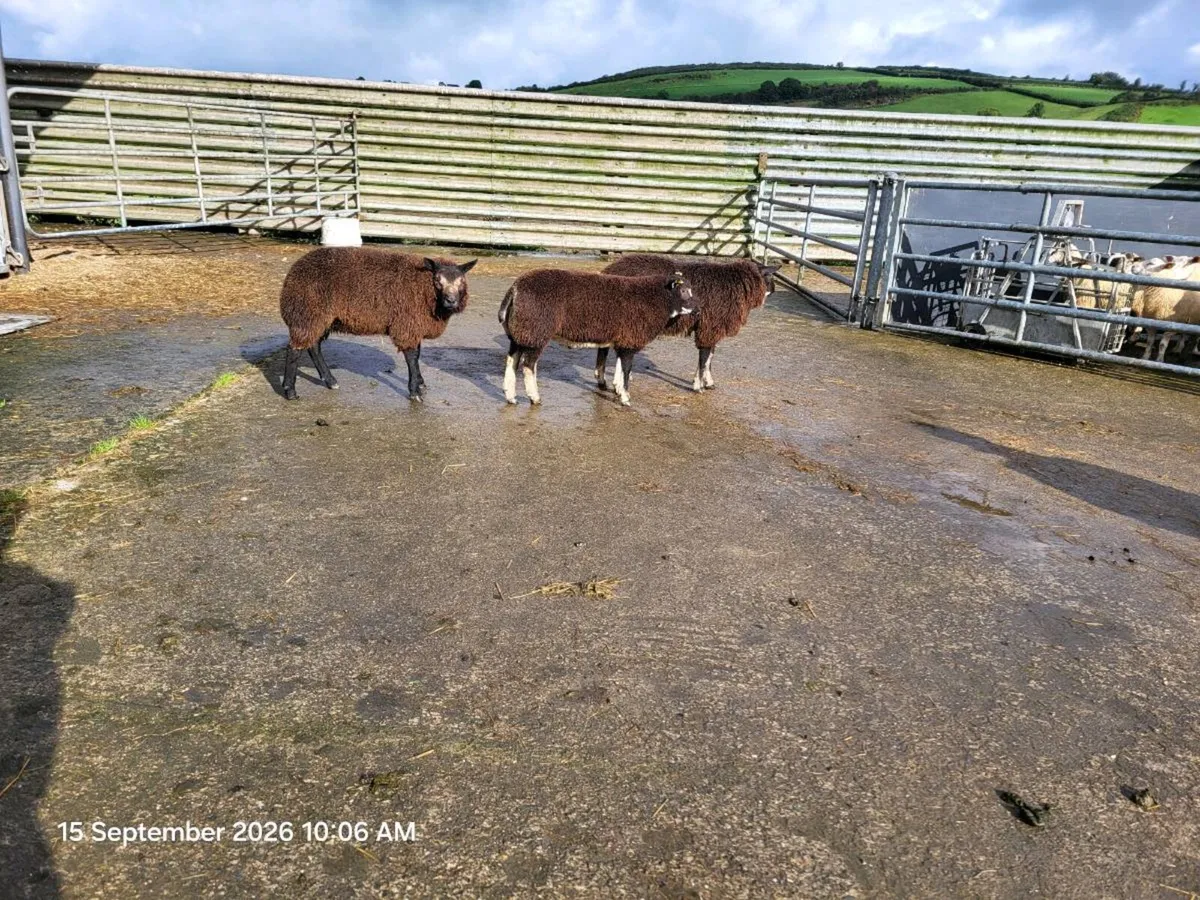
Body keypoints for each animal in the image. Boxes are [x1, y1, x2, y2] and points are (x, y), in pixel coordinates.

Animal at [278, 247, 476, 401]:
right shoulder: (407, 324)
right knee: (294, 349)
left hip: (321, 318)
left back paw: (331, 381)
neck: (424, 288)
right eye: (437, 280)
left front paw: (420, 383)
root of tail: (292, 273)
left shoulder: (415, 325)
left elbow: (418, 354)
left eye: (462, 281)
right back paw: (290, 391)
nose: (451, 301)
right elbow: (412, 358)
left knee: (314, 347)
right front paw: (414, 391)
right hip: (307, 314)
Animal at [498, 268, 697, 406]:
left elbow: (620, 367)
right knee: (528, 366)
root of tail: (514, 289)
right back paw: (535, 398)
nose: (697, 310)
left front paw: (618, 390)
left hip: (520, 333)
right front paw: (625, 398)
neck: (657, 299)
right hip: (536, 331)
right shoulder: (631, 338)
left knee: (512, 361)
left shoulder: (623, 339)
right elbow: (627, 369)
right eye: (684, 291)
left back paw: (511, 397)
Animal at [596, 254, 778, 392]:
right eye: (768, 277)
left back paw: (608, 381)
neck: (735, 285)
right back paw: (609, 381)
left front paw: (708, 382)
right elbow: (704, 358)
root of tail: (609, 270)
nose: (774, 290)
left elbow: (710, 357)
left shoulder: (711, 327)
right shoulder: (709, 326)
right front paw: (698, 386)